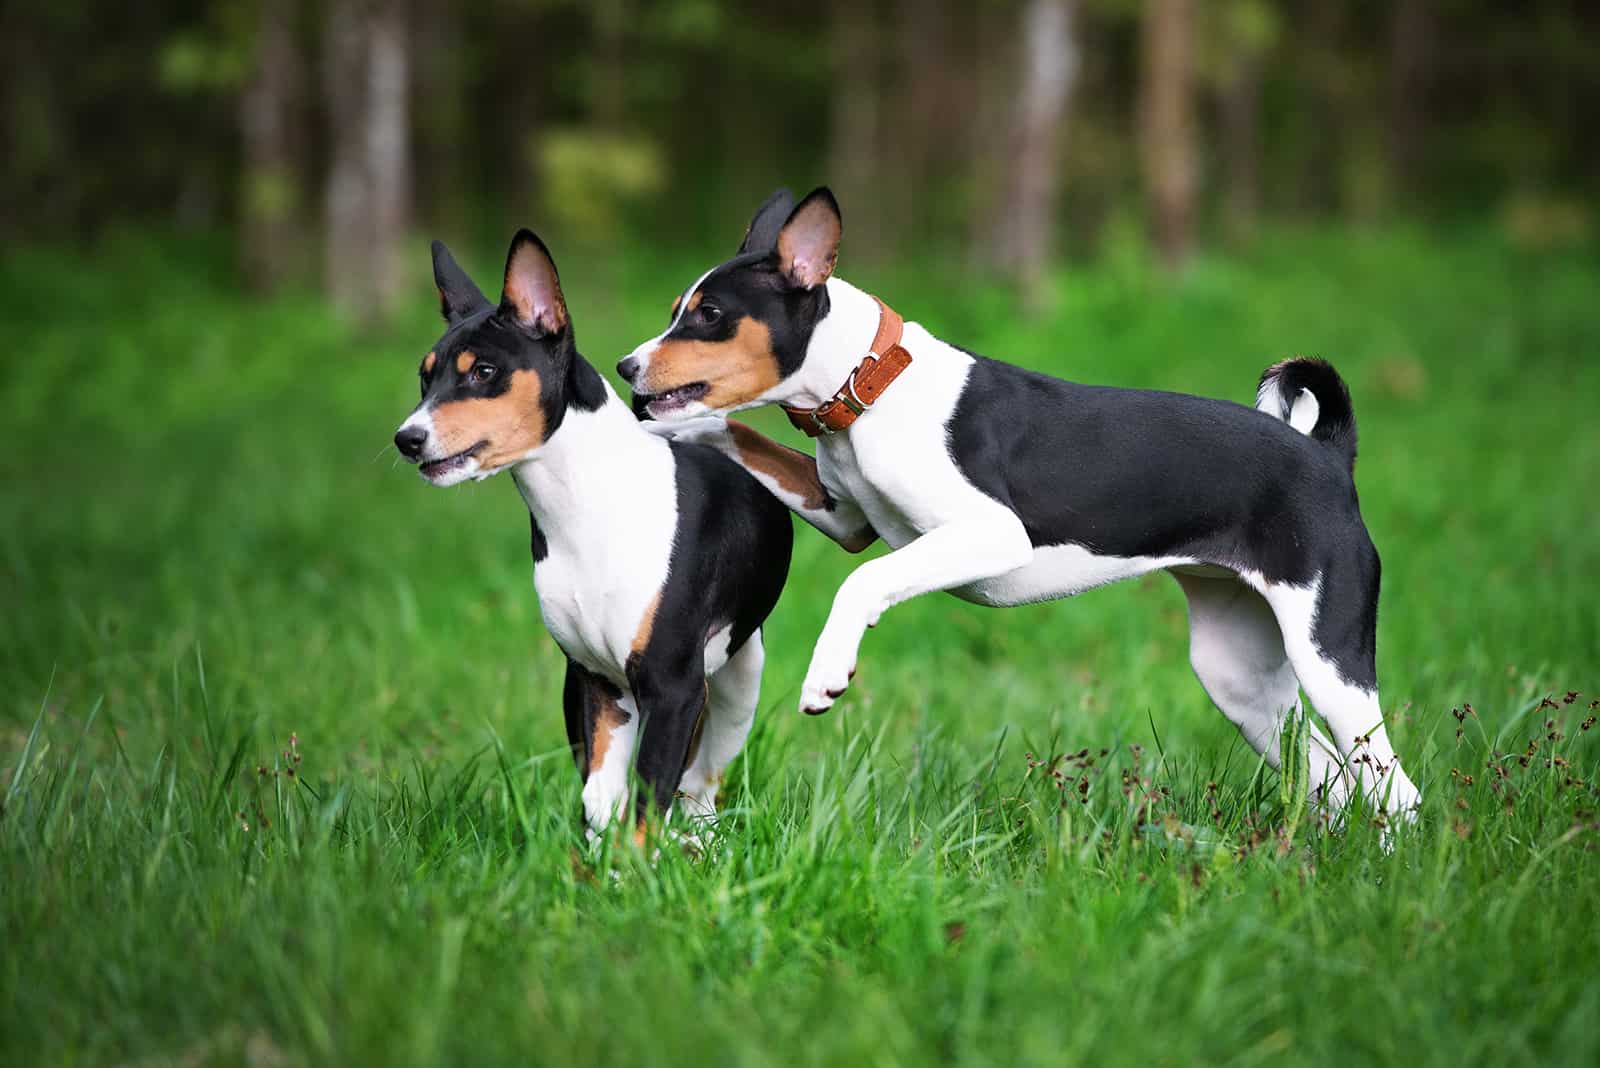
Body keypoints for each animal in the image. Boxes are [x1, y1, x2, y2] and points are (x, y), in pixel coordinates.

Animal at [387, 230, 787, 837]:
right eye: (424, 376)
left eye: (484, 372)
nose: (407, 439)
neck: (585, 509)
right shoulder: (595, 682)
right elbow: (602, 799)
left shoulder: (673, 686)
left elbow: (649, 799)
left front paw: (639, 862)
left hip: (738, 680)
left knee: (702, 784)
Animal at [620, 187, 1427, 812]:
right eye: (677, 308)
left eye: (710, 315)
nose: (628, 366)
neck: (874, 384)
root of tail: (1328, 458)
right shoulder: (844, 516)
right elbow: (737, 435)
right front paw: (677, 426)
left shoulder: (990, 533)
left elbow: (866, 580)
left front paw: (828, 672)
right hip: (1242, 676)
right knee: (1331, 776)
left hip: (1329, 657)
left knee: (1394, 789)